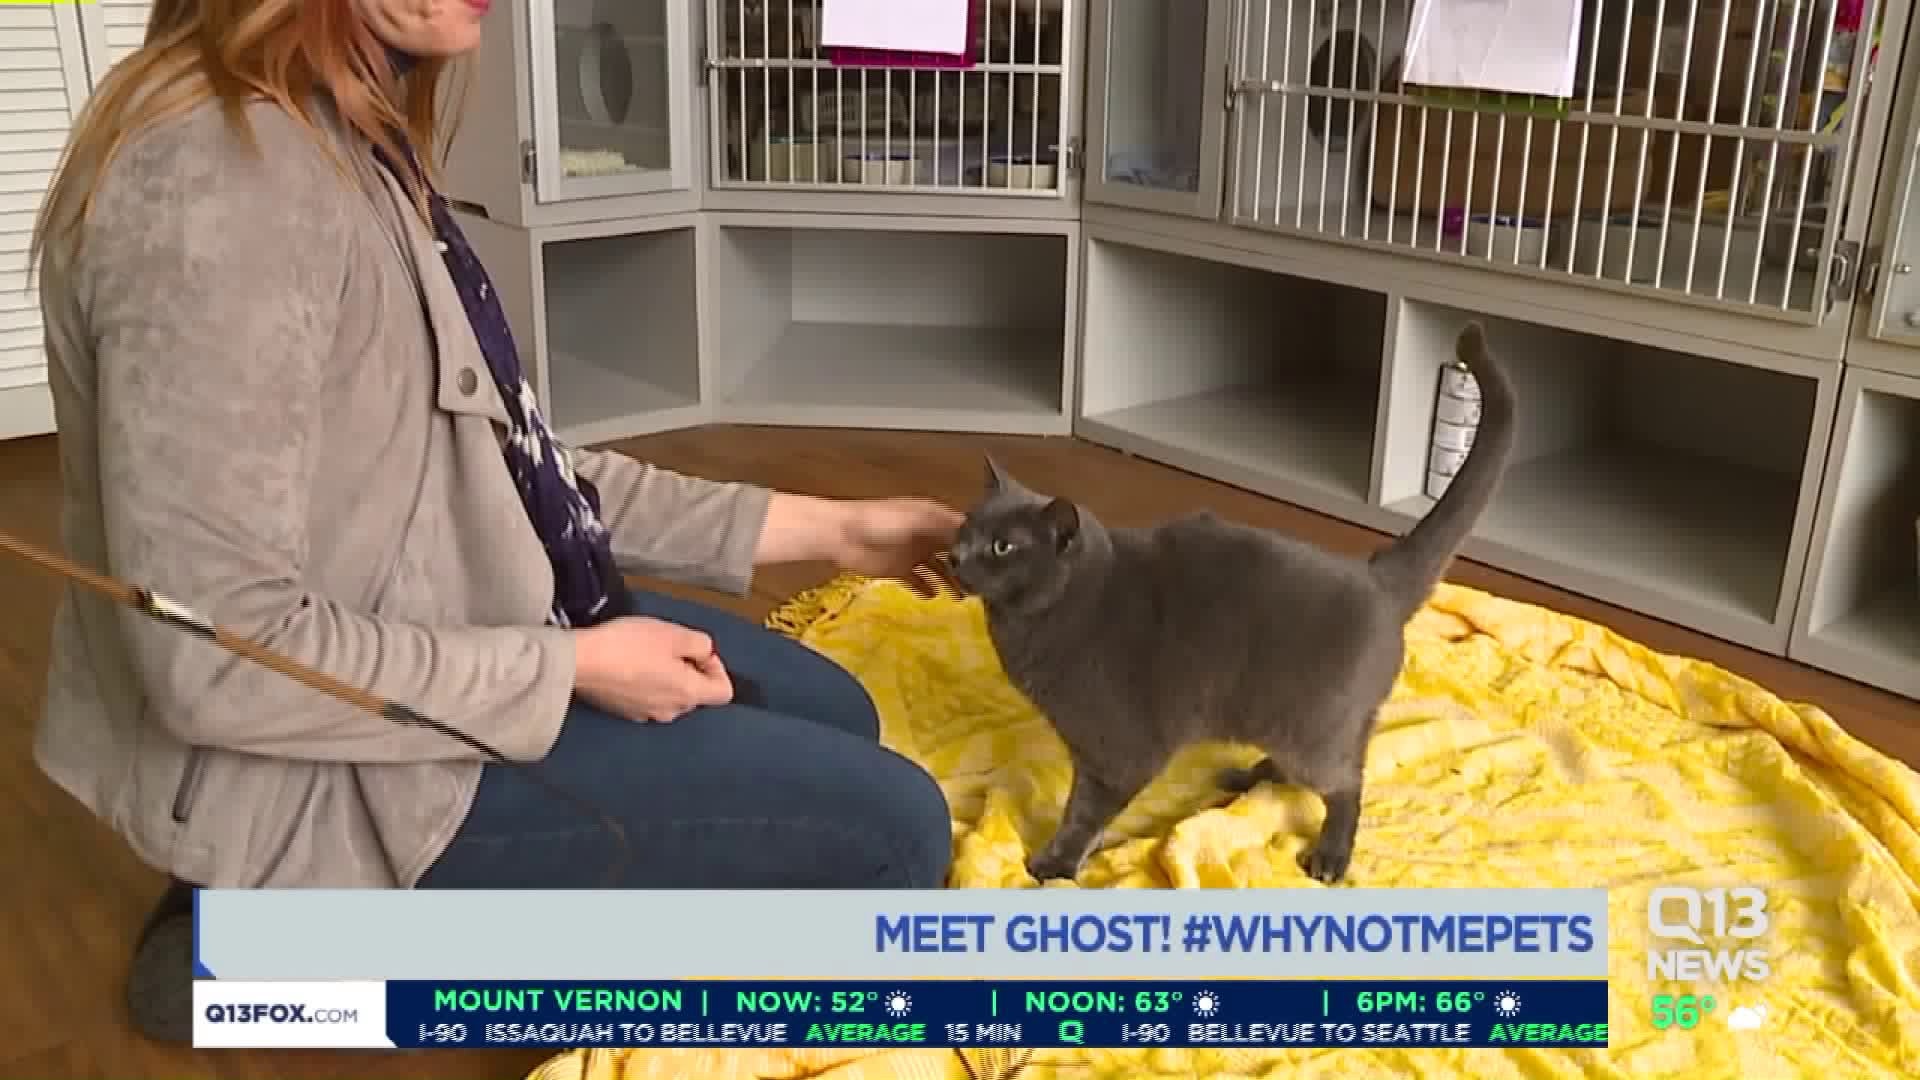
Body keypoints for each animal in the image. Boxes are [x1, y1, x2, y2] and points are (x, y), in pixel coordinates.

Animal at [947, 322, 1516, 885]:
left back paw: (1330, 856)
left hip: (1312, 726)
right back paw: (1252, 774)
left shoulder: (1116, 751)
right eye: (967, 527)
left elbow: (1083, 812)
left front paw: (1055, 863)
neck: (1055, 614)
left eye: (1002, 546)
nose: (954, 555)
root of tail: (1376, 575)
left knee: (1347, 782)